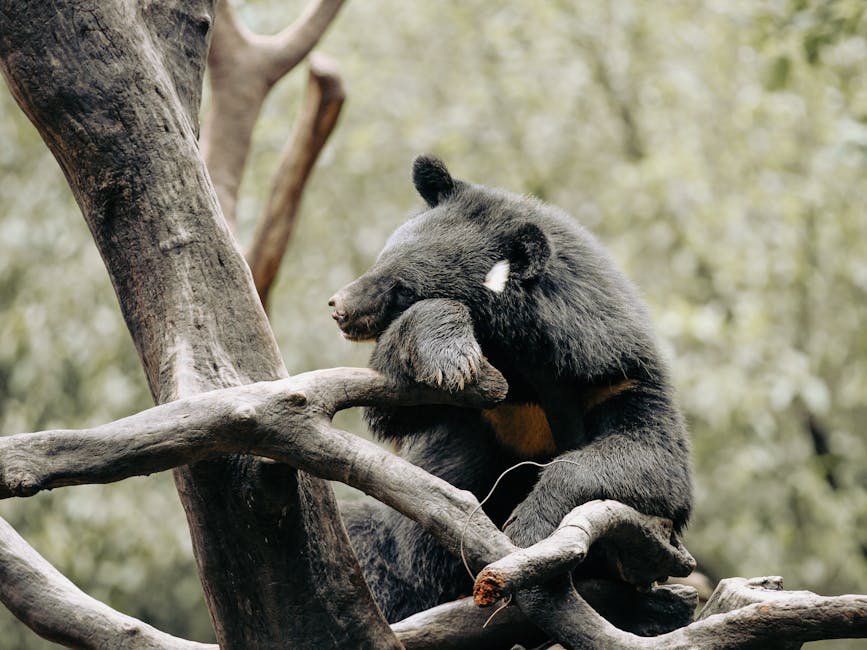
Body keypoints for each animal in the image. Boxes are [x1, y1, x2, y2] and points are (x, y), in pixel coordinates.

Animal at [329, 155, 693, 624]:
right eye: (382, 260)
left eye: (402, 287)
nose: (339, 308)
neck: (518, 357)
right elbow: (395, 403)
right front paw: (452, 358)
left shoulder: (613, 372)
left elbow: (656, 459)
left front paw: (527, 528)